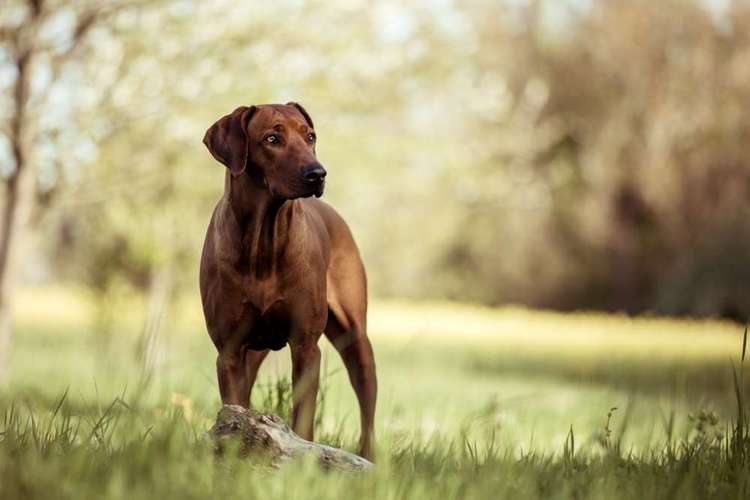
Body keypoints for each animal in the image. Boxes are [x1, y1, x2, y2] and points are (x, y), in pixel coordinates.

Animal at [200, 102, 376, 460]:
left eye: (310, 136)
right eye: (272, 138)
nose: (318, 174)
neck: (263, 243)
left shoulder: (306, 345)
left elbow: (303, 417)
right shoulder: (229, 350)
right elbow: (235, 408)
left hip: (355, 338)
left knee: (366, 400)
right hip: (252, 352)